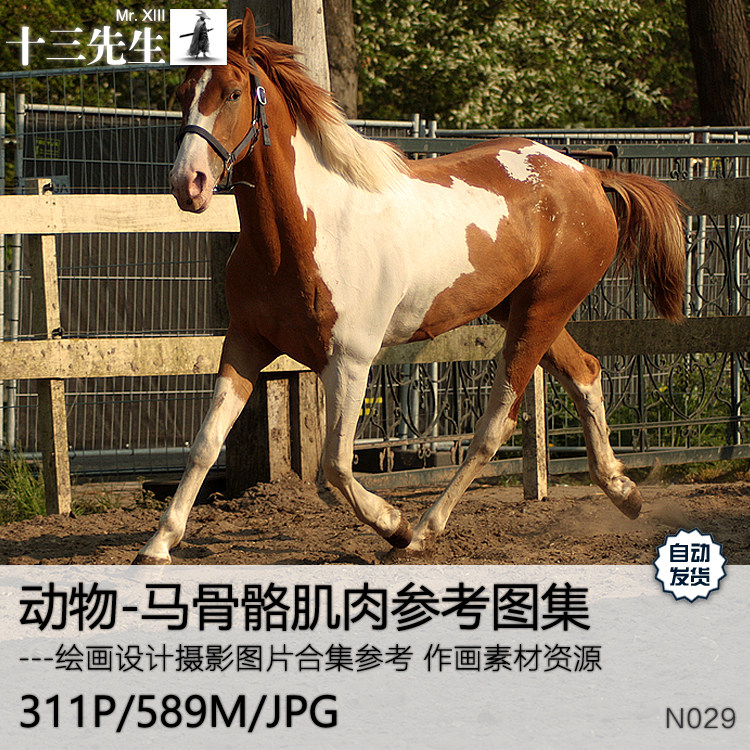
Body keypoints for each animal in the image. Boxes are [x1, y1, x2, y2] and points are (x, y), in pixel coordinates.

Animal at [134, 10, 685, 564]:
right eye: (182, 92)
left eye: (232, 92)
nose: (188, 184)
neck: (302, 235)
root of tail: (588, 176)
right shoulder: (246, 343)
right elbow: (206, 444)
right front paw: (157, 545)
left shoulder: (349, 360)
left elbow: (335, 464)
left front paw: (392, 524)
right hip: (521, 309)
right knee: (585, 371)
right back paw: (624, 492)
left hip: (543, 309)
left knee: (494, 426)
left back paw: (422, 531)